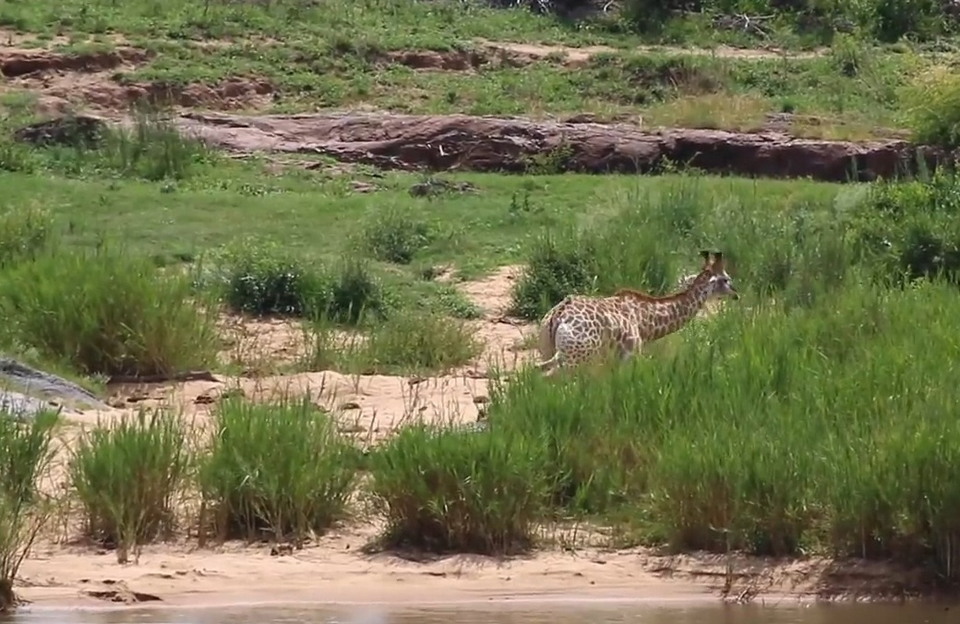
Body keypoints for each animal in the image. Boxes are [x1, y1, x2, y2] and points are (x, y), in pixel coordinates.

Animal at [536, 251, 740, 372]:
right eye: (725, 279)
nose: (736, 294)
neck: (645, 322)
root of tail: (558, 315)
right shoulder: (630, 356)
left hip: (549, 350)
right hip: (577, 358)